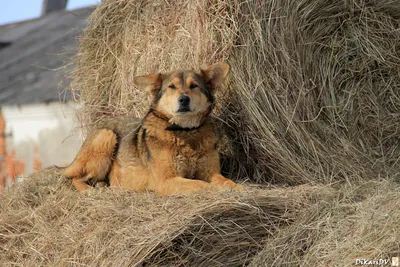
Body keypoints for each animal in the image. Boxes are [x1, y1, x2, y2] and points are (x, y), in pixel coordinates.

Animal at [61, 63, 244, 197]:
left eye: (194, 86)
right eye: (171, 87)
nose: (183, 99)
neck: (185, 132)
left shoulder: (210, 173)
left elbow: (226, 182)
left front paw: (238, 188)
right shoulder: (167, 181)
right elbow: (202, 185)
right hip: (106, 137)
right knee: (74, 178)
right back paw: (89, 191)